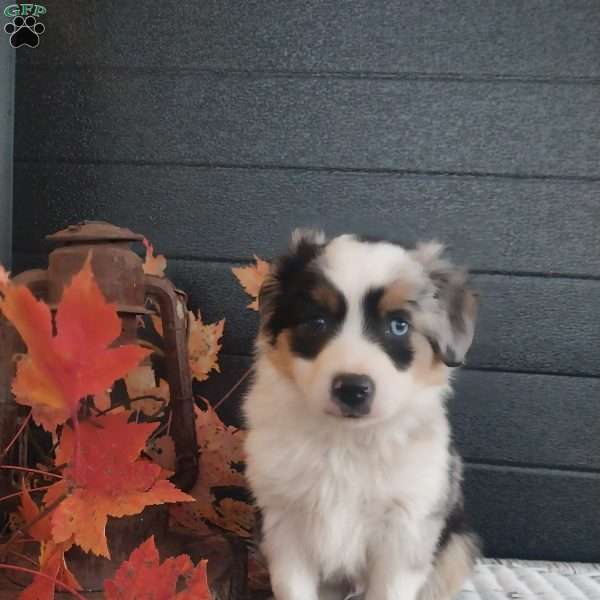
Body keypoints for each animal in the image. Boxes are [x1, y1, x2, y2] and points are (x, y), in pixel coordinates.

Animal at [241, 231, 480, 600]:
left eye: (399, 325)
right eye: (316, 322)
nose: (352, 389)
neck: (346, 440)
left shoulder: (405, 530)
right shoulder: (284, 525)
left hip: (457, 546)